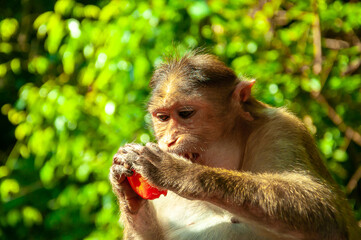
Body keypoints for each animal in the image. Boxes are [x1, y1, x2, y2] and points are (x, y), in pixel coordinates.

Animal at [109, 51, 360, 239]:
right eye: (162, 117)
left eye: (185, 114)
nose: (169, 140)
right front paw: (125, 193)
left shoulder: (282, 129)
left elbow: (324, 209)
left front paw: (178, 172)